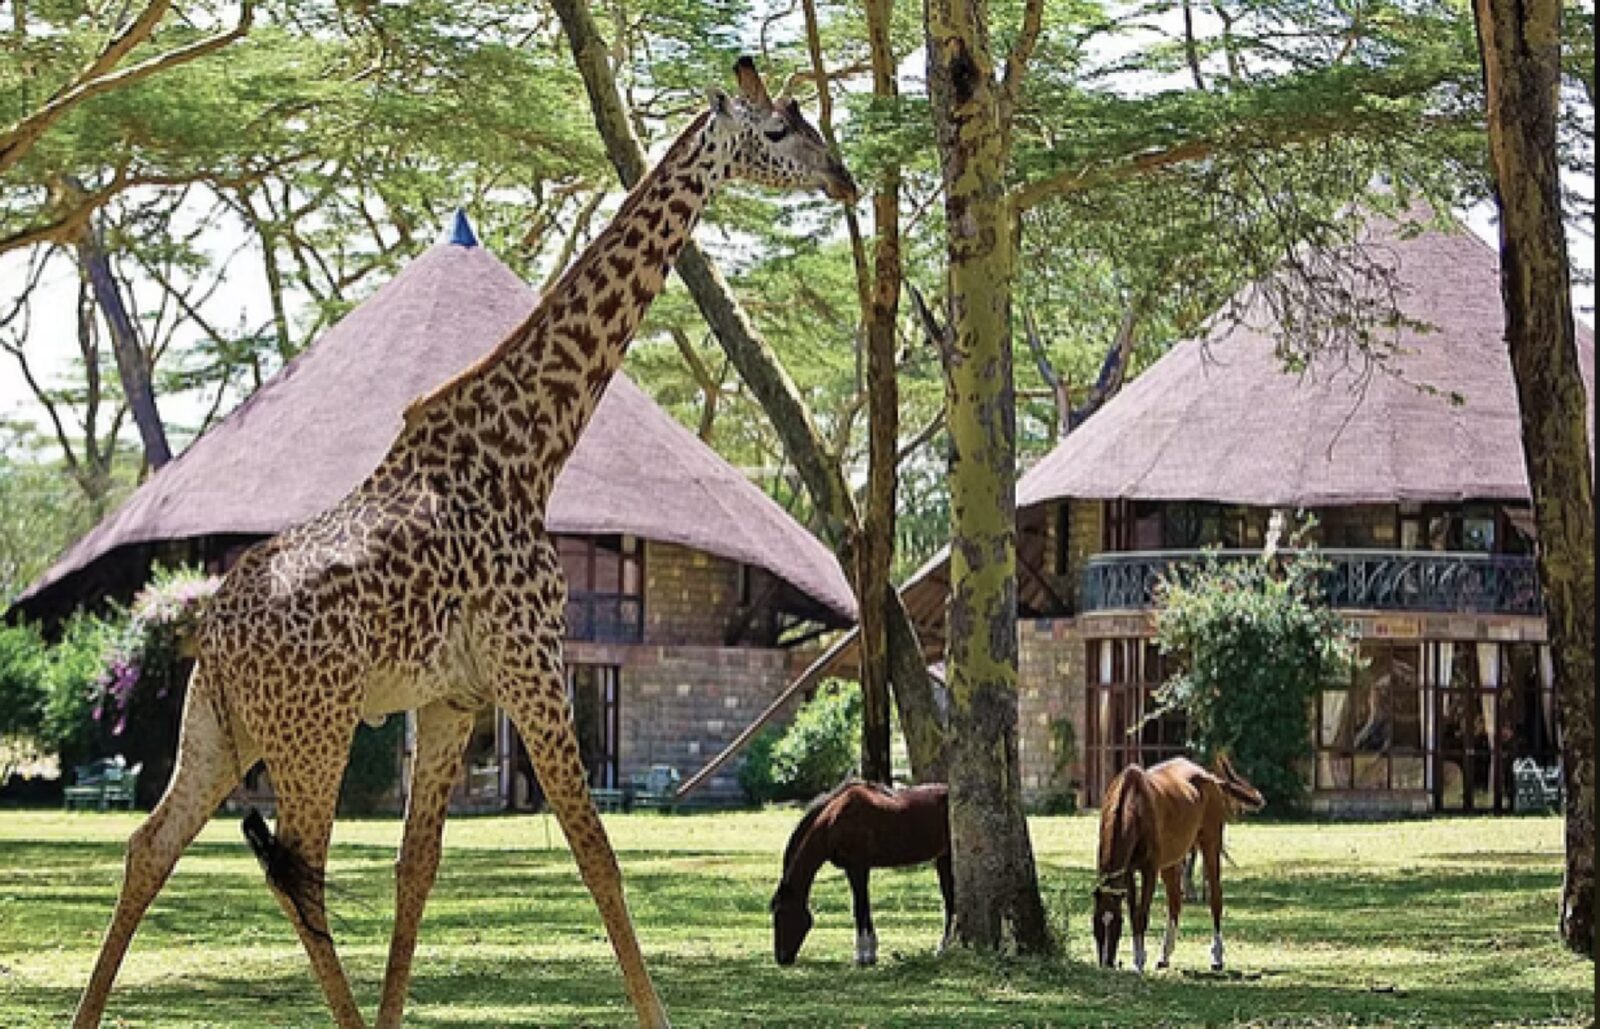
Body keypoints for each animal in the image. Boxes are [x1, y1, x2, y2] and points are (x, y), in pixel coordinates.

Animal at [72, 58, 855, 1029]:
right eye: (779, 130)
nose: (845, 177)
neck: (531, 449)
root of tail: (211, 633)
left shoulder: (452, 697)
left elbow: (418, 869)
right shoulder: (531, 662)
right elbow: (597, 853)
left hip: (216, 726)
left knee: (150, 846)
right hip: (313, 729)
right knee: (299, 870)